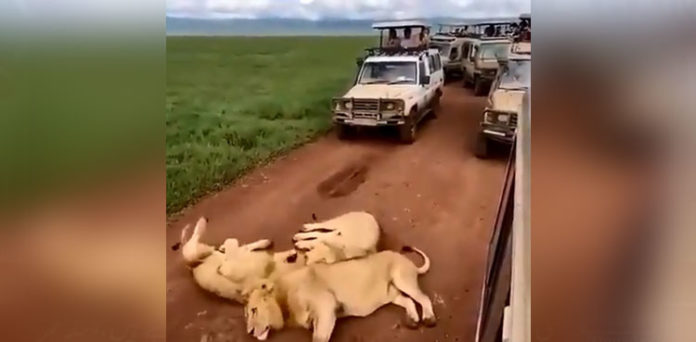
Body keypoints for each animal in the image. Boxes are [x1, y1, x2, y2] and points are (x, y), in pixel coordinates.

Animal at [242, 246, 432, 342]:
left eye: (254, 310)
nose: (250, 332)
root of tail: (408, 262)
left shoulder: (326, 304)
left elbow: (318, 338)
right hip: (390, 294)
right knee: (408, 300)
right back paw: (413, 320)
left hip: (401, 278)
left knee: (424, 298)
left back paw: (429, 319)